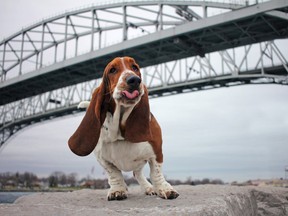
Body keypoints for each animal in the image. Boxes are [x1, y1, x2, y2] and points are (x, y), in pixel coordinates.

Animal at [68, 56, 179, 201]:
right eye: (112, 70)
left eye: (135, 67)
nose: (134, 80)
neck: (119, 132)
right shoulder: (103, 160)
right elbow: (114, 174)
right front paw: (118, 191)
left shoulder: (156, 151)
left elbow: (156, 172)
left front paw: (165, 189)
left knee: (138, 174)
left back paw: (149, 188)